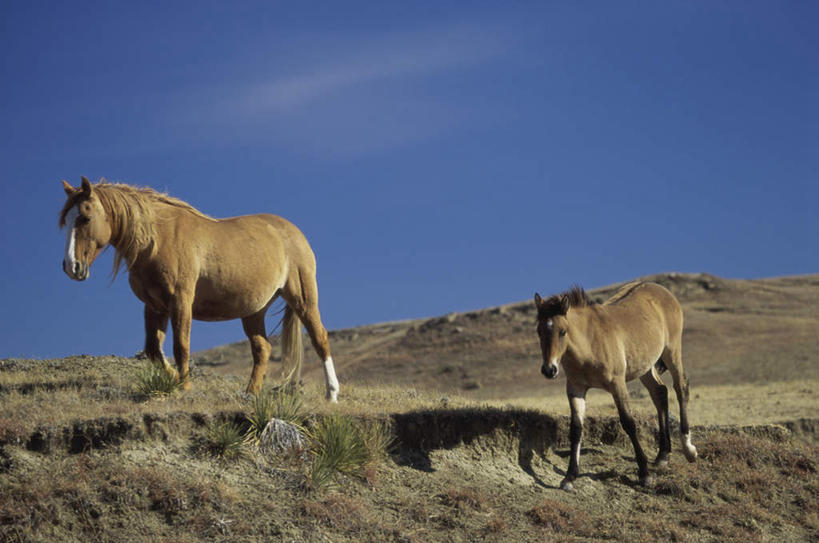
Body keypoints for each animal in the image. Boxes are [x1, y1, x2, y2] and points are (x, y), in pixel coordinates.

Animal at [59, 176, 338, 402]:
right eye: (65, 221)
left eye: (85, 217)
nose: (71, 267)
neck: (157, 239)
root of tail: (293, 232)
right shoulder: (154, 306)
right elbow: (153, 350)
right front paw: (174, 380)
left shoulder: (180, 301)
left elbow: (181, 346)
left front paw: (185, 386)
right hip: (254, 310)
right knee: (263, 349)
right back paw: (250, 394)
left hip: (302, 297)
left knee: (320, 338)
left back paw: (332, 394)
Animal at [540, 282, 700, 490]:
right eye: (539, 331)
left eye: (562, 331)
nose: (549, 369)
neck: (589, 343)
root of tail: (662, 290)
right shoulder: (576, 388)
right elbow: (576, 429)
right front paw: (569, 477)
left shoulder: (617, 384)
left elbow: (629, 423)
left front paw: (644, 474)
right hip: (646, 366)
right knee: (660, 393)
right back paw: (662, 455)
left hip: (671, 352)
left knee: (681, 388)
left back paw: (689, 450)